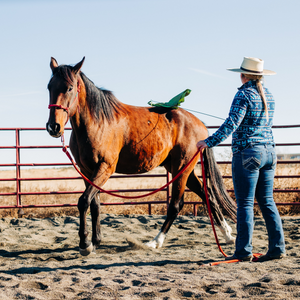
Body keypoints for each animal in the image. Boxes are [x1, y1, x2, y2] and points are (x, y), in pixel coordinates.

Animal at [46, 56, 237, 255]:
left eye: (69, 88)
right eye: (49, 87)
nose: (53, 127)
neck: (97, 122)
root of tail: (200, 124)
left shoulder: (105, 168)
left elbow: (84, 201)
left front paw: (84, 244)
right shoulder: (86, 171)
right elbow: (94, 204)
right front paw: (95, 241)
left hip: (181, 169)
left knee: (176, 205)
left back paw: (155, 241)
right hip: (183, 169)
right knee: (209, 196)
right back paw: (227, 235)